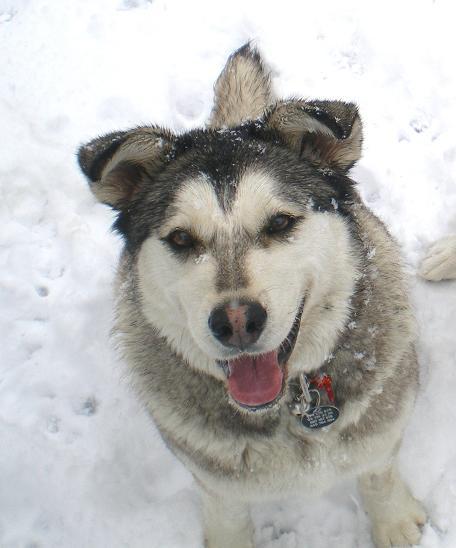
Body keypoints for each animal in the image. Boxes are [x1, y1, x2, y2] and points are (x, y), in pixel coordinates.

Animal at [79, 44, 428, 548]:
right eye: (181, 238)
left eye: (279, 222)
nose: (237, 322)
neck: (292, 407)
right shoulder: (213, 477)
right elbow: (227, 514)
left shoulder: (381, 427)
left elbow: (378, 471)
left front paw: (394, 522)